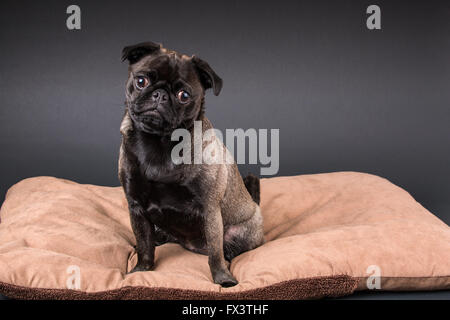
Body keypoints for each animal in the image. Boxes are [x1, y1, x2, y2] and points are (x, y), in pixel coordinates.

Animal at [119, 41, 266, 286]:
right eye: (141, 81)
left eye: (184, 95)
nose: (160, 95)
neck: (159, 143)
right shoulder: (136, 207)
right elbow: (143, 245)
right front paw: (141, 269)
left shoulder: (210, 210)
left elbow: (215, 252)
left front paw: (222, 279)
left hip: (243, 231)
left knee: (227, 249)